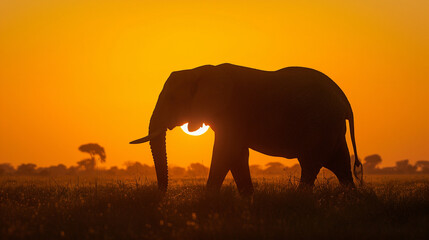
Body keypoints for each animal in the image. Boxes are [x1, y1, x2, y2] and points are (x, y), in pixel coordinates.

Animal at [130, 63, 362, 195]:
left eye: (172, 99)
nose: (163, 196)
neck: (199, 71)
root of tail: (345, 101)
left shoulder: (232, 112)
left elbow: (225, 152)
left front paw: (207, 201)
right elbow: (237, 155)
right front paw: (248, 199)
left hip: (320, 125)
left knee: (310, 164)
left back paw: (299, 199)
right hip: (332, 128)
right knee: (340, 166)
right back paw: (352, 199)